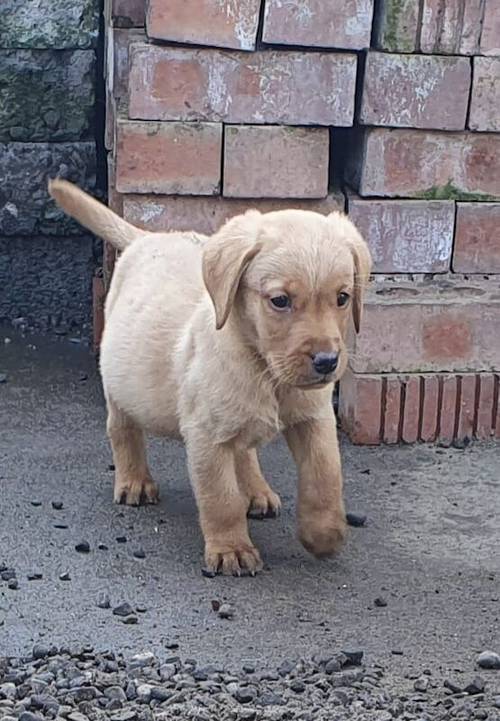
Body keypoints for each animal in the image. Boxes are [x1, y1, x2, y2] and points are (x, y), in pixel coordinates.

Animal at [49, 179, 372, 572]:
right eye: (280, 301)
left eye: (342, 297)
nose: (327, 361)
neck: (264, 369)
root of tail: (146, 237)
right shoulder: (207, 437)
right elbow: (221, 498)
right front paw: (231, 548)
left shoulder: (314, 418)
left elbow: (325, 475)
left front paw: (324, 533)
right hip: (121, 385)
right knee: (123, 430)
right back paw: (135, 481)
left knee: (245, 449)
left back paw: (256, 491)